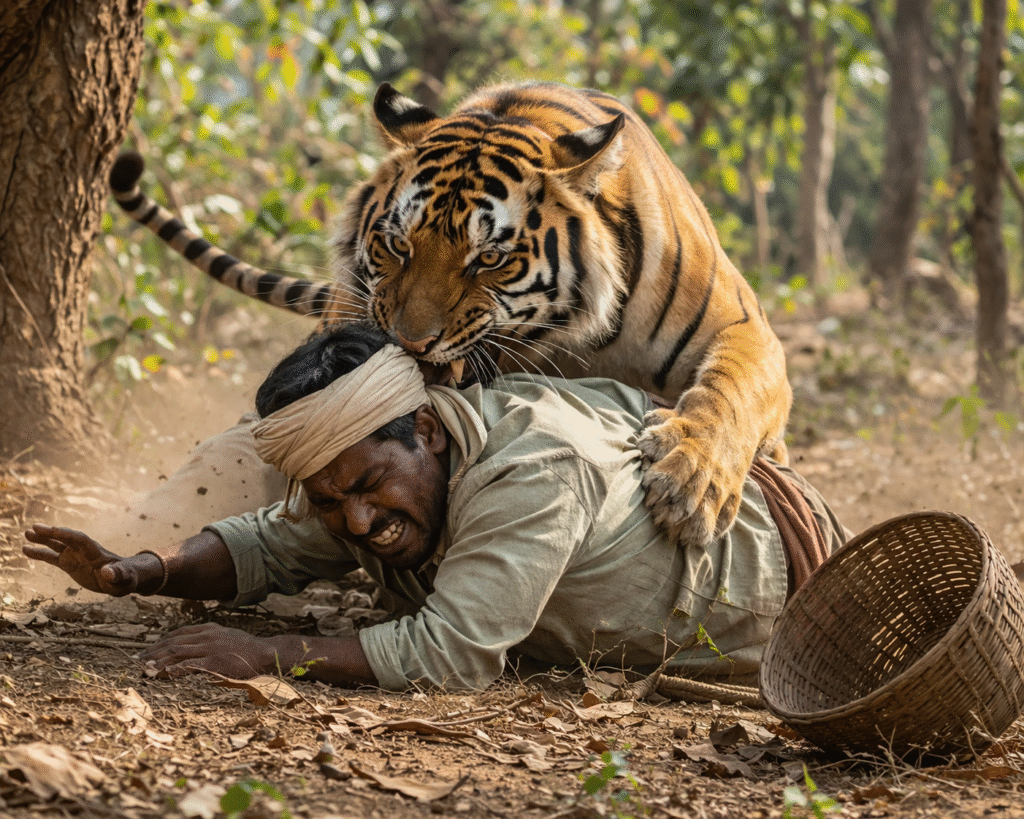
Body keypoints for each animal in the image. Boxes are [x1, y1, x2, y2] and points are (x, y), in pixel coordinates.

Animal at [109, 81, 792, 548]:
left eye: (488, 258)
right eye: (397, 245)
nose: (410, 343)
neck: (572, 333)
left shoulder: (744, 327)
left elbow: (732, 390)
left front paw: (690, 485)